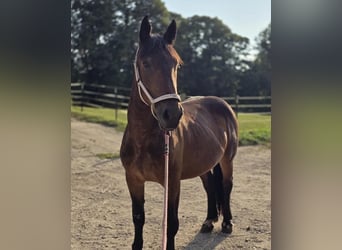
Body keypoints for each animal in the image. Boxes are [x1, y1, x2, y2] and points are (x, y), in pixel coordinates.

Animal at [120, 16, 238, 250]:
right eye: (145, 63)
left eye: (177, 65)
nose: (172, 114)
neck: (143, 141)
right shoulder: (133, 180)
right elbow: (138, 218)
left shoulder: (172, 182)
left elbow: (171, 224)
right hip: (204, 163)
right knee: (210, 186)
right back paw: (209, 221)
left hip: (227, 160)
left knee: (226, 186)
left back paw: (227, 223)